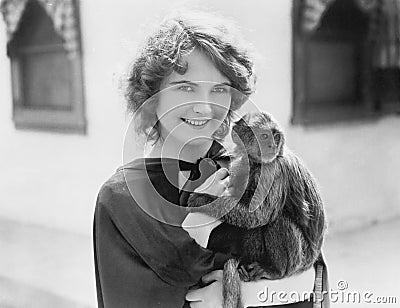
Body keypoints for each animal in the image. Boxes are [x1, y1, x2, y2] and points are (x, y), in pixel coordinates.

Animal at [187, 112, 324, 308]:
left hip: (303, 258)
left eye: (275, 137)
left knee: (277, 221)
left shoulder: (273, 170)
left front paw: (202, 200)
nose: (272, 145)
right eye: (264, 136)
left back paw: (275, 270)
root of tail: (314, 255)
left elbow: (259, 215)